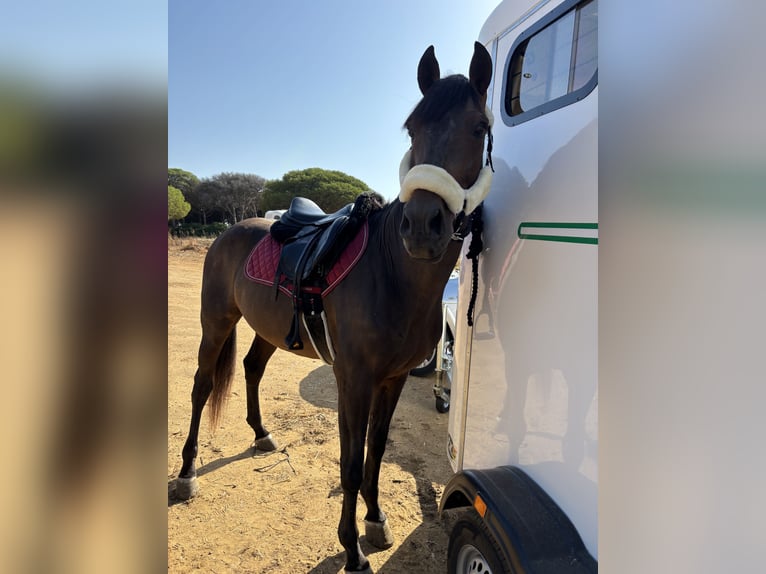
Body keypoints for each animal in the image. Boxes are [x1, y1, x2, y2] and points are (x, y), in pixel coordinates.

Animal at [175, 42, 493, 573]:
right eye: (413, 129)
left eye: (479, 127)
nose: (422, 226)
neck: (391, 275)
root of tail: (231, 230)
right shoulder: (354, 380)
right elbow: (349, 465)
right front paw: (352, 548)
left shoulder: (393, 379)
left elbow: (376, 453)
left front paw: (376, 521)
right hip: (215, 322)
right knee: (202, 387)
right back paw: (186, 472)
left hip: (265, 329)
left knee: (252, 368)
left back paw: (261, 434)